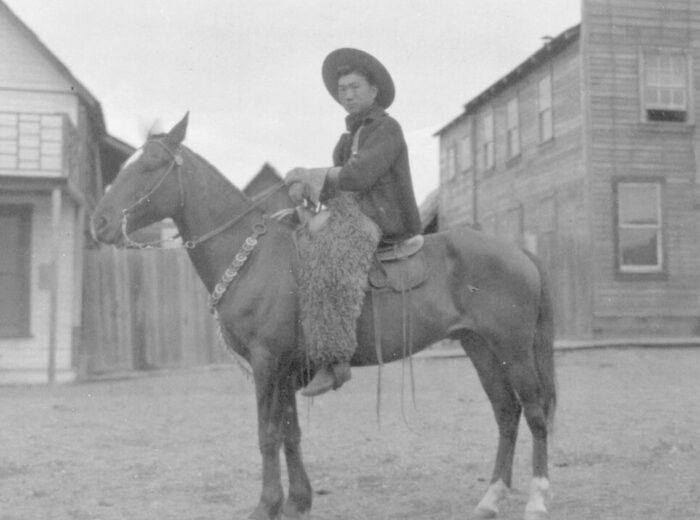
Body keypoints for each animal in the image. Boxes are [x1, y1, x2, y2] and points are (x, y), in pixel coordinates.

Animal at [89, 115, 556, 520]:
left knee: (534, 412)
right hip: (480, 348)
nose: (100, 221)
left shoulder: (266, 362)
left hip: (513, 349)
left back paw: (537, 500)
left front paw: (267, 505)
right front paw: (298, 501)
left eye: (151, 163)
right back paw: (491, 498)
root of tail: (519, 252)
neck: (253, 256)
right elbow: (291, 434)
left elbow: (268, 434)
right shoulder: (288, 368)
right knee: (506, 412)